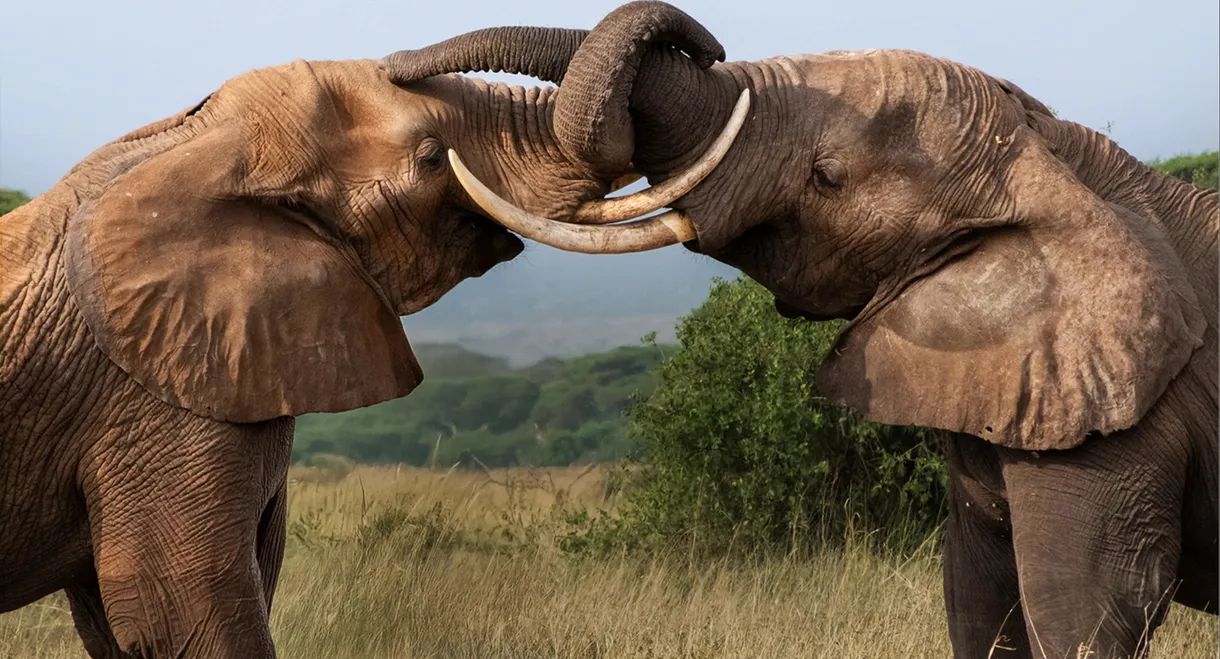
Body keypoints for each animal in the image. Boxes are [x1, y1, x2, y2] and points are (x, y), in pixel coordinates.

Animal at [390, 2, 1220, 657]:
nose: (393, 66)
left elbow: (1085, 611)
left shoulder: (1126, 424)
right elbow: (977, 594)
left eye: (828, 176)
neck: (1060, 158)